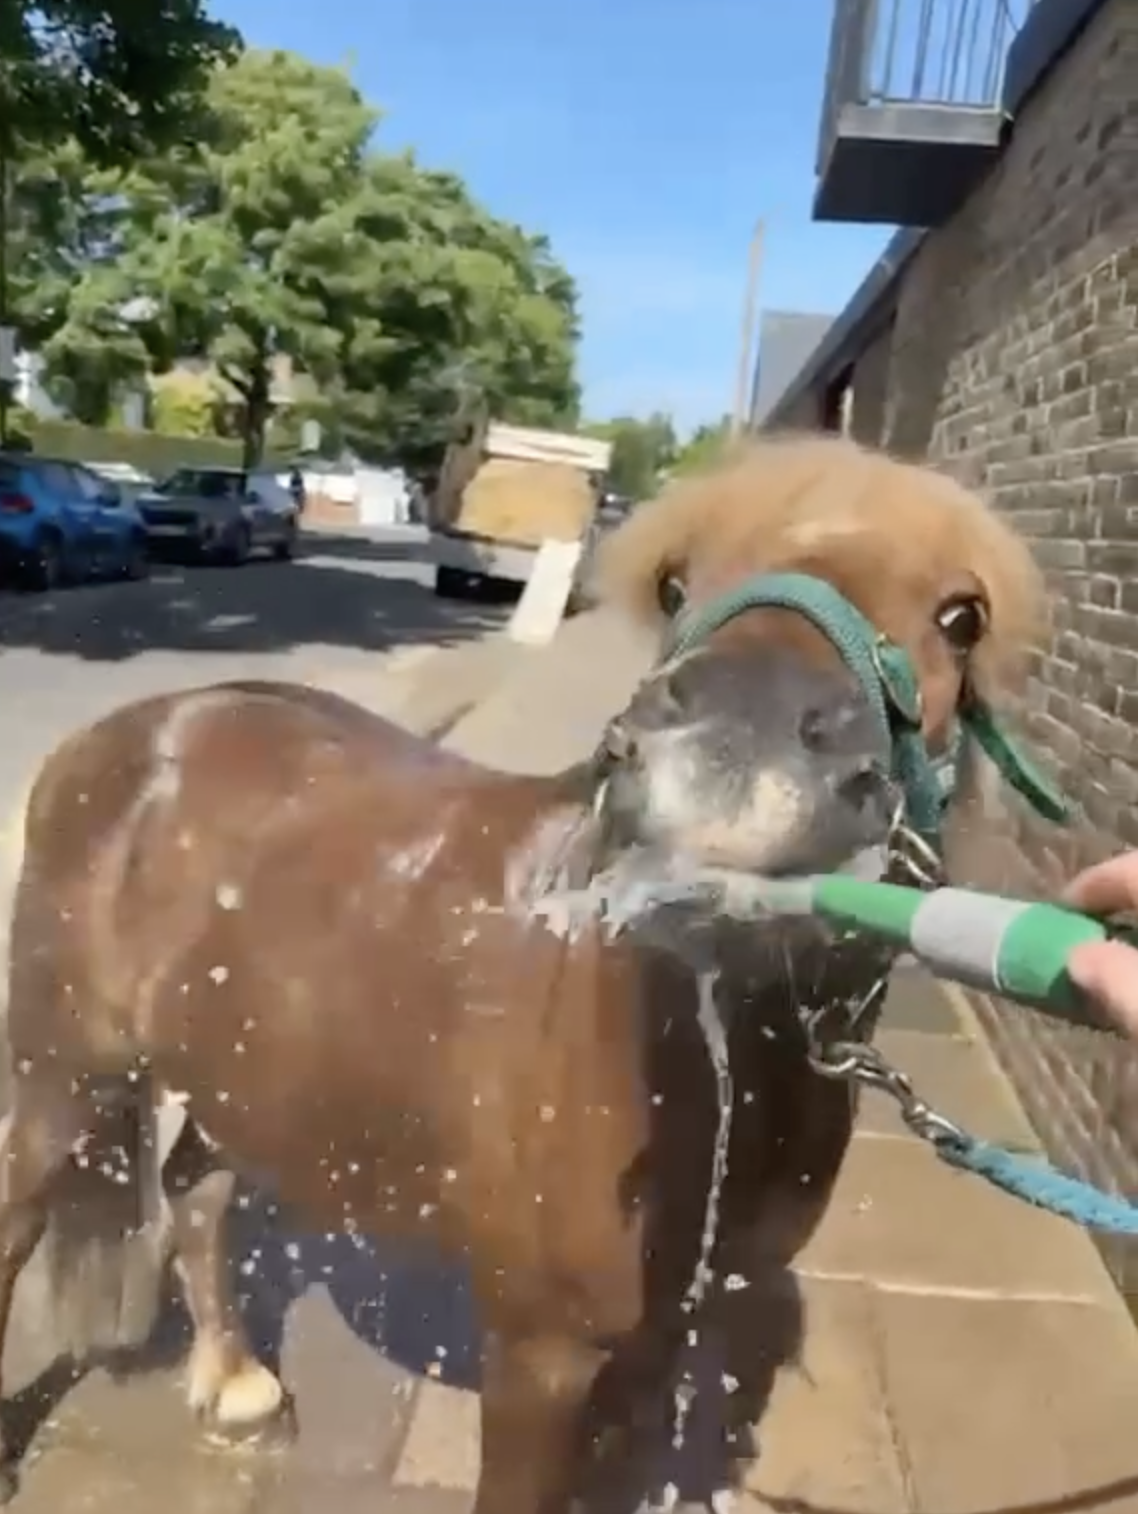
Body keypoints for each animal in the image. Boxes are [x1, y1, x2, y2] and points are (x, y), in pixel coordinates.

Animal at [0, 434, 1061, 1513]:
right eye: (674, 583)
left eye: (962, 615)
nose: (732, 748)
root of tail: (141, 727)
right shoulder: (542, 1355)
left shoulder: (667, 1332)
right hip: (60, 1074)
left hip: (239, 1065)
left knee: (198, 1190)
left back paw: (237, 1385)